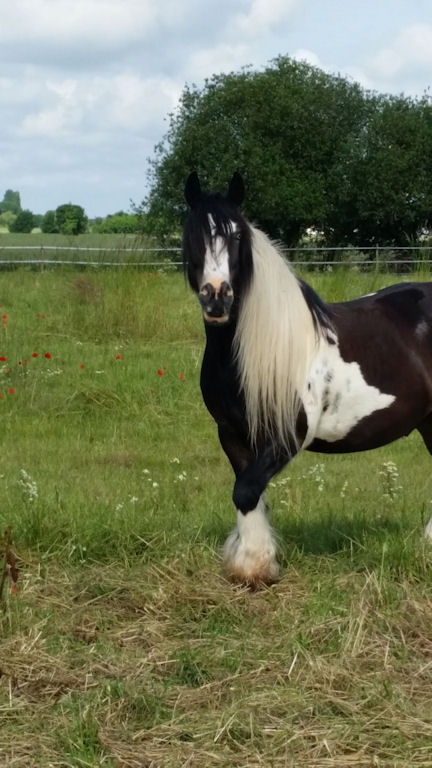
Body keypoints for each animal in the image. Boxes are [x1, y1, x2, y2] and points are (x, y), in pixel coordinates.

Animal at [183, 171, 432, 586]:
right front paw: (253, 564)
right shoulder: (232, 434)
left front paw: (255, 567)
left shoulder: (288, 436)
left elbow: (246, 491)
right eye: (192, 235)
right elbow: (251, 495)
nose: (217, 296)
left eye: (237, 237)